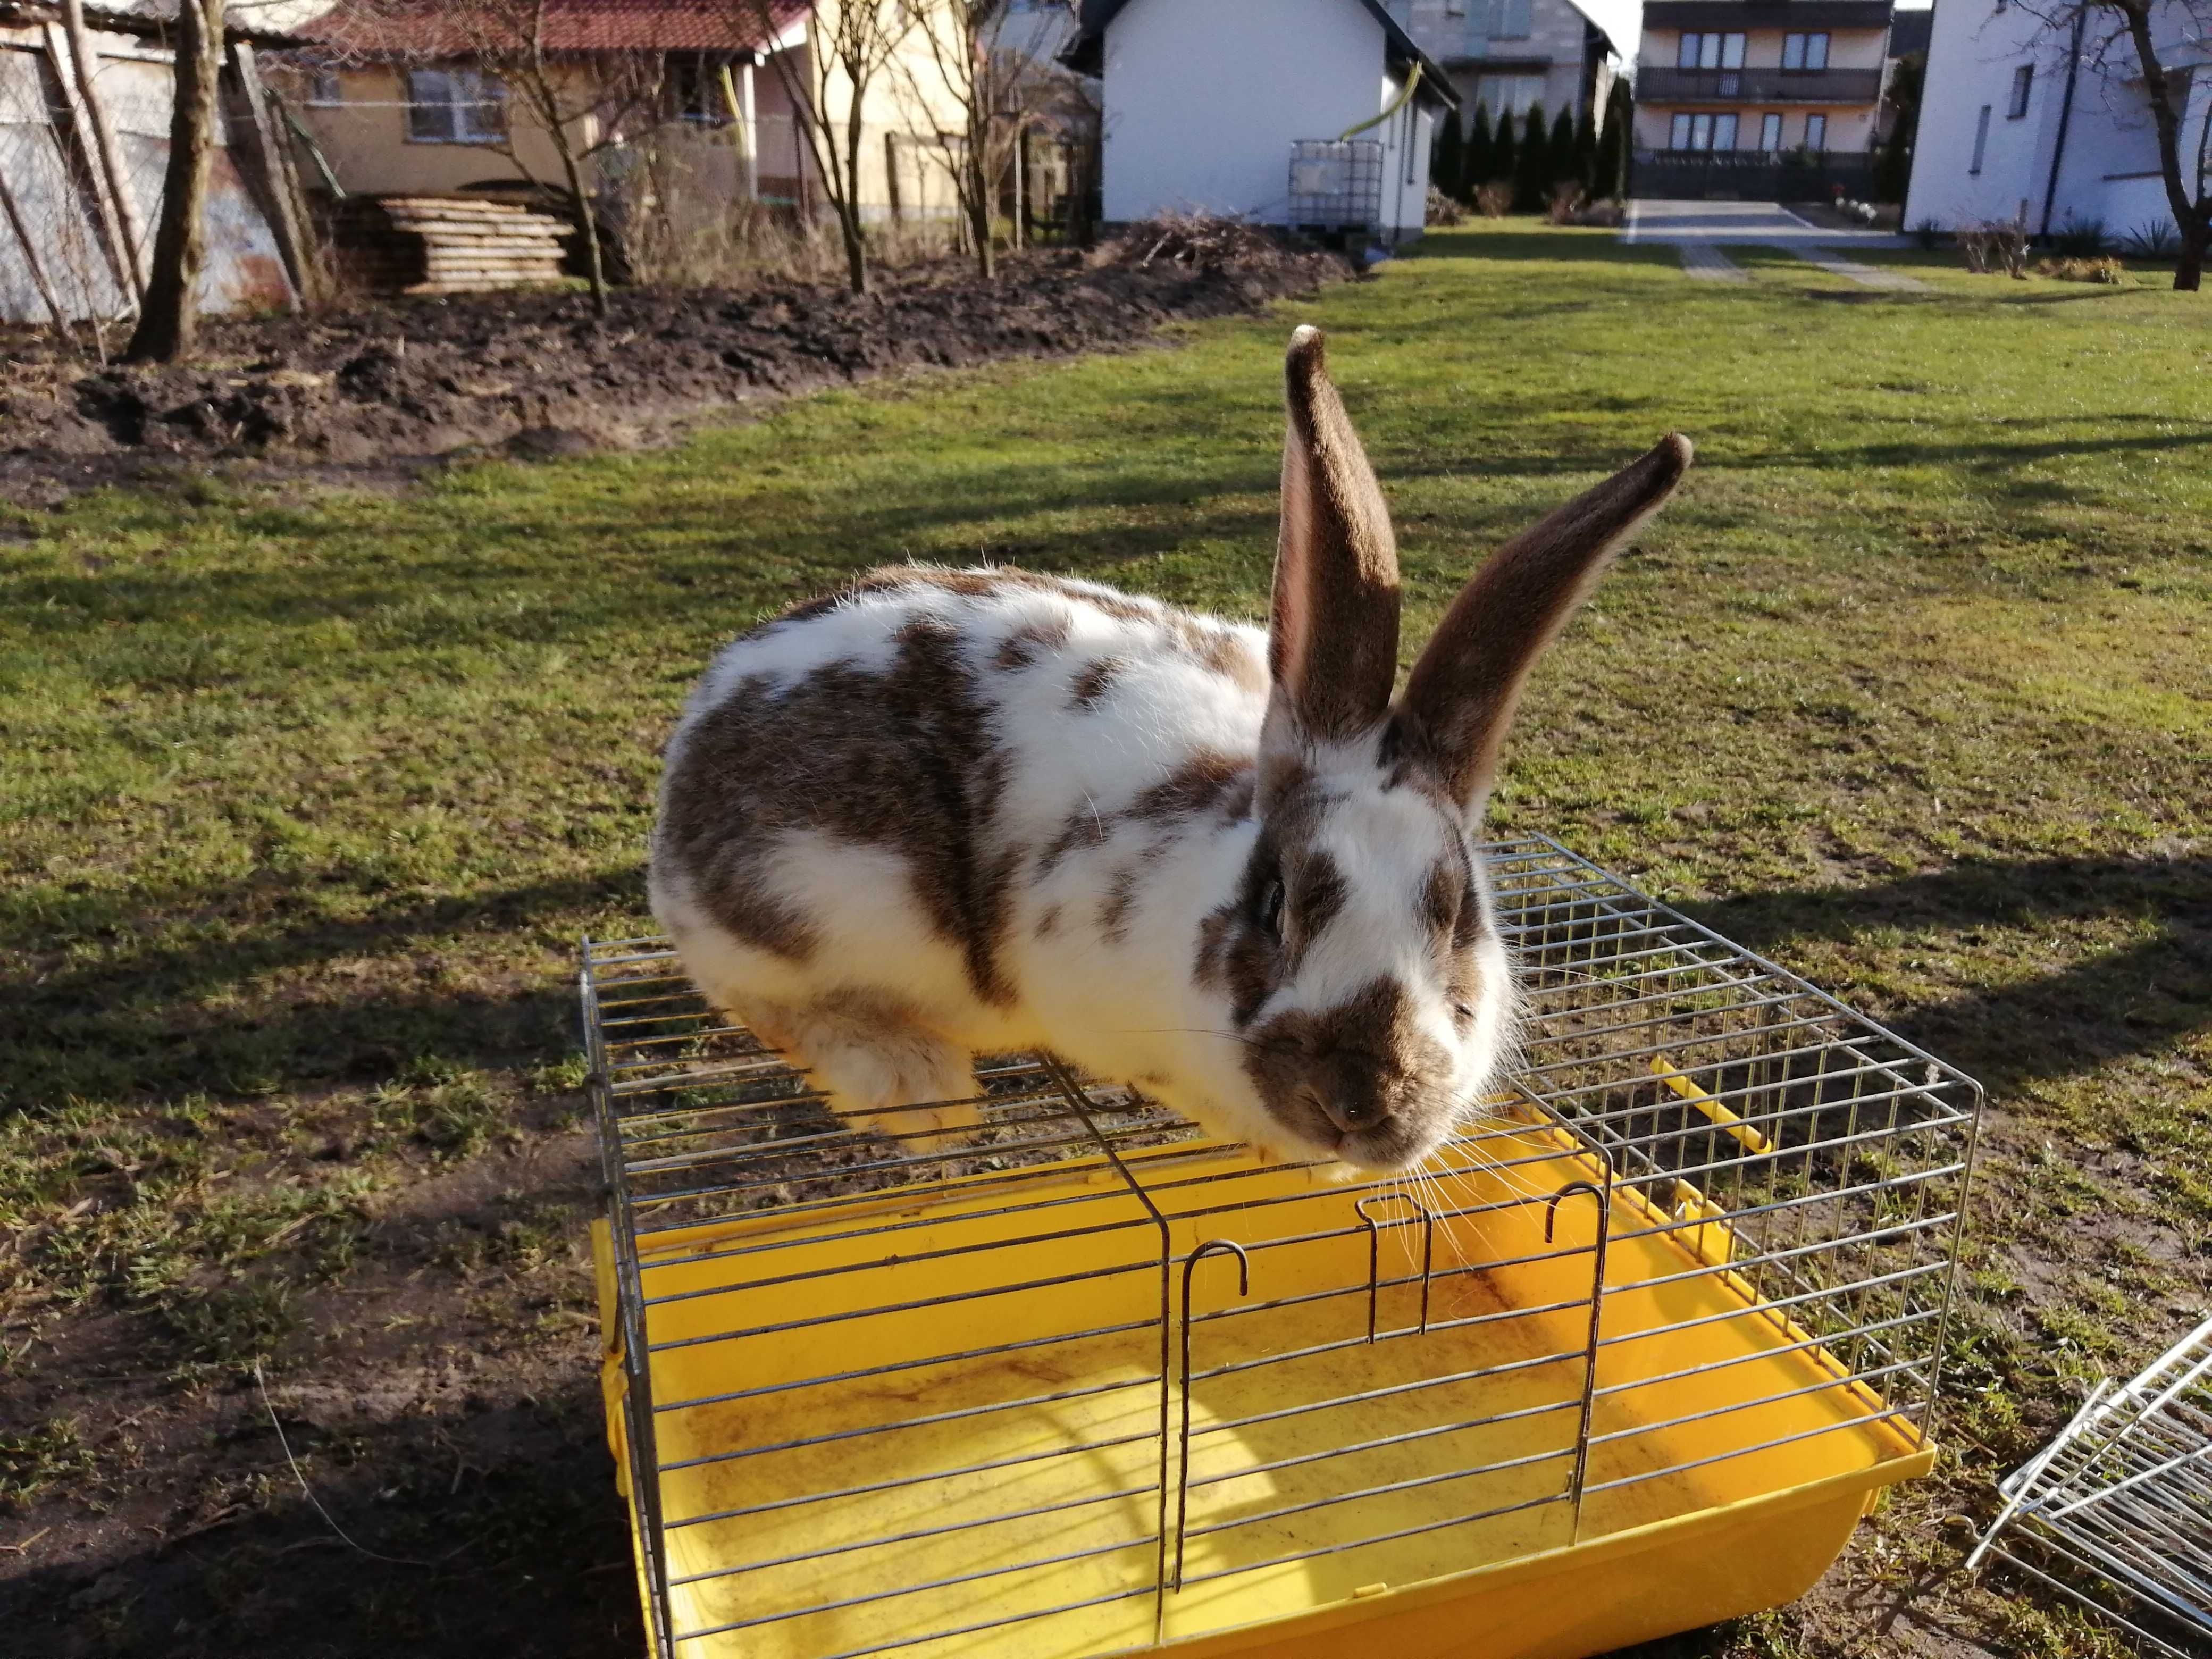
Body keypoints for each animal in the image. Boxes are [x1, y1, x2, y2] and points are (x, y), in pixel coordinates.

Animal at [646, 325, 1690, 1177]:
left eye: (1457, 914)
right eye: (1277, 903)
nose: (1359, 1101)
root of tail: (693, 739)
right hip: (814, 898)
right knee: (759, 997)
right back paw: (918, 1087)